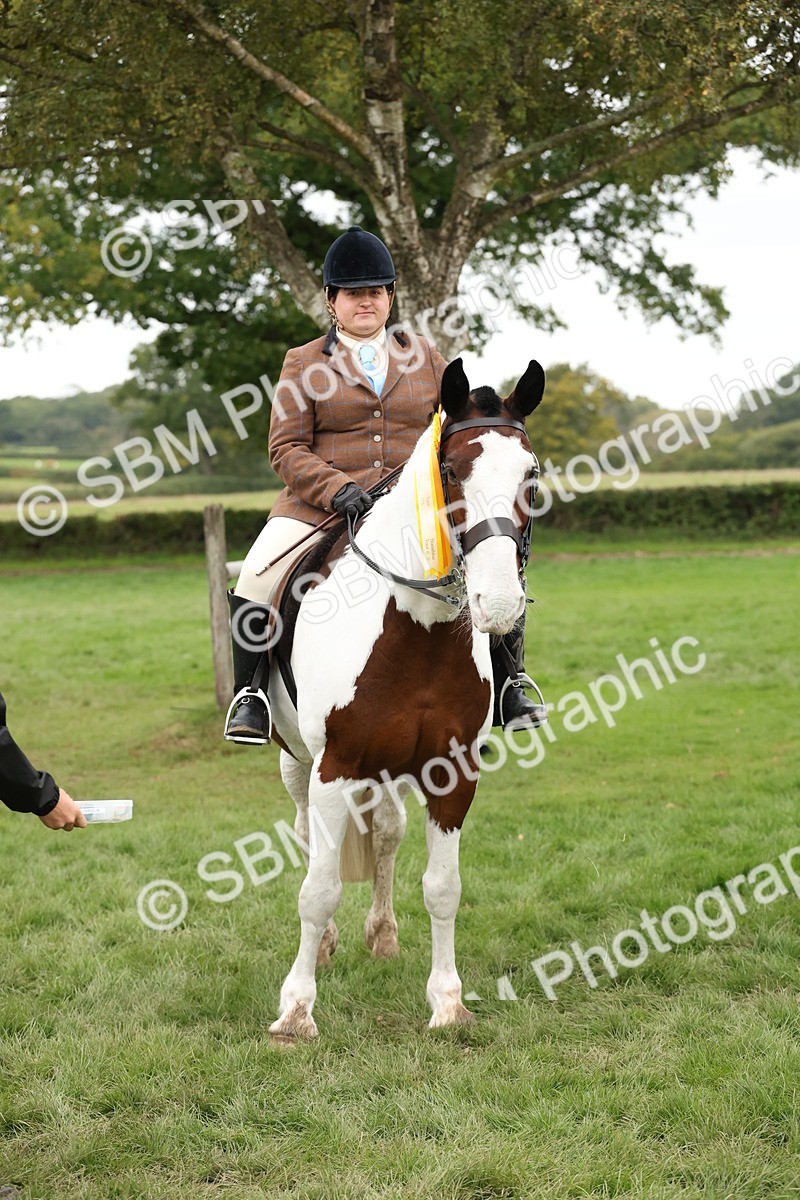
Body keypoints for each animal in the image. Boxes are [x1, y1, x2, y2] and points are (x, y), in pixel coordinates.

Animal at [267, 356, 545, 1041]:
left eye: (530, 476)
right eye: (450, 472)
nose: (499, 604)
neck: (415, 633)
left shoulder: (454, 771)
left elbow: (443, 886)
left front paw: (448, 1002)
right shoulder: (333, 767)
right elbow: (318, 888)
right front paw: (296, 1012)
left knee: (387, 836)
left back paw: (383, 935)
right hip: (296, 761)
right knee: (310, 842)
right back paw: (329, 945)